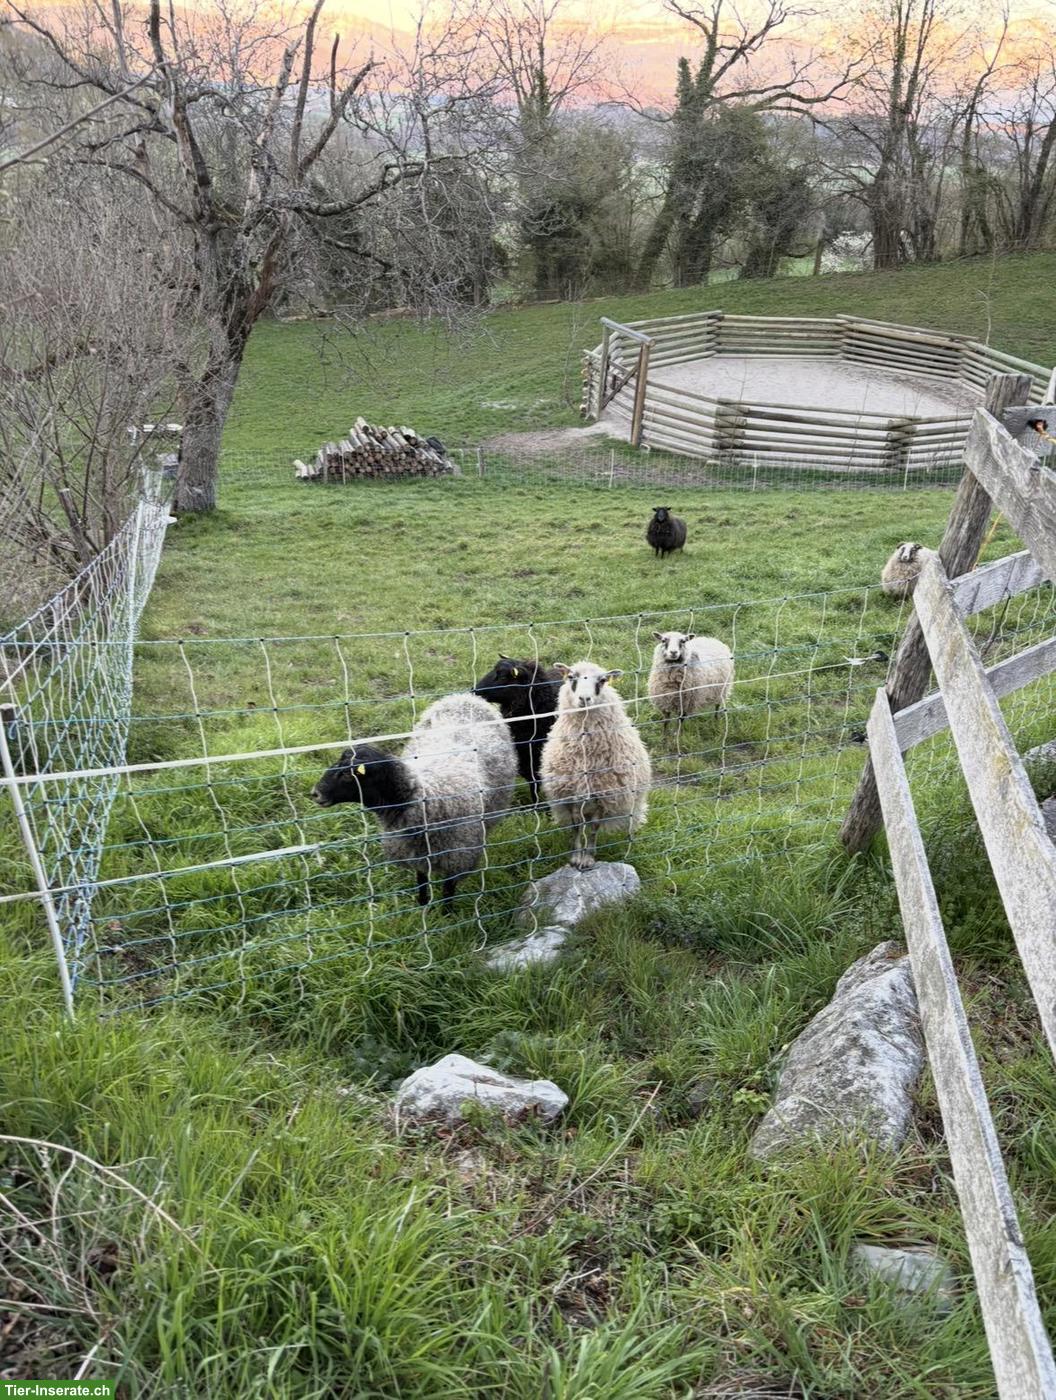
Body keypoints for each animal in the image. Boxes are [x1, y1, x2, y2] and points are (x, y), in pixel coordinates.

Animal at [311, 693, 517, 906]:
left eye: (347, 774)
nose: (315, 793)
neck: (424, 796)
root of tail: (465, 697)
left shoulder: (457, 858)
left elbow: (448, 892)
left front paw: (446, 911)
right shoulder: (416, 855)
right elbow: (422, 881)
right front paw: (423, 905)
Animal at [540, 661, 652, 871]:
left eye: (603, 680)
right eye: (571, 677)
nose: (584, 698)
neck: (587, 756)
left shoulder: (604, 795)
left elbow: (594, 828)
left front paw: (588, 858)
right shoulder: (571, 794)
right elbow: (576, 827)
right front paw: (576, 857)